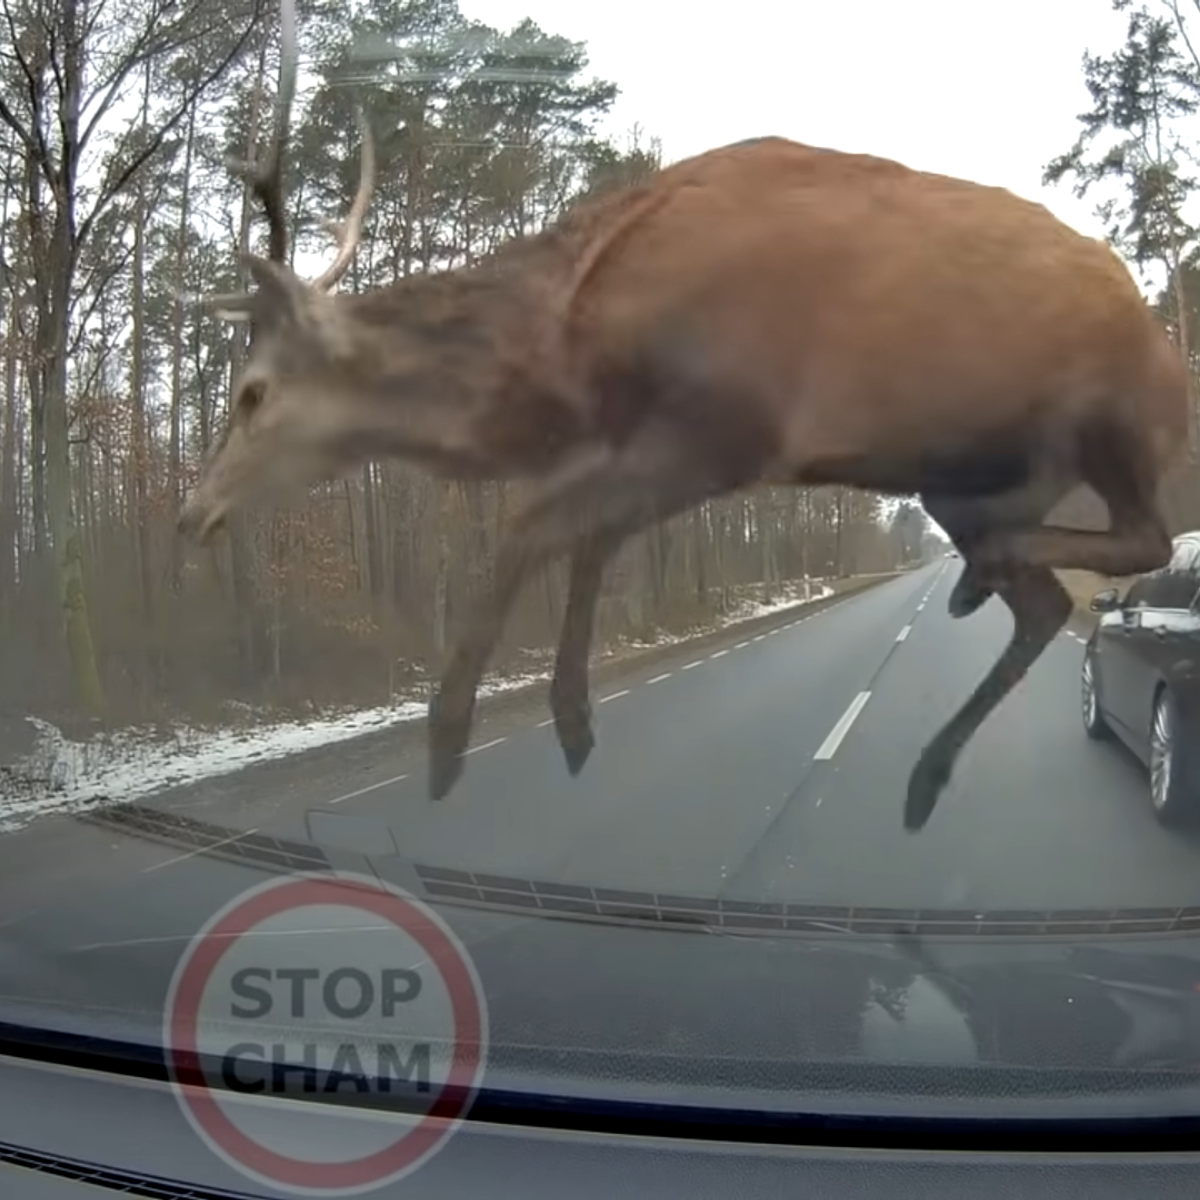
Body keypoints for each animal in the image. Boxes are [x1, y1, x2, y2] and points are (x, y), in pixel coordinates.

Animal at [177, 0, 1190, 835]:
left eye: (252, 390)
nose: (192, 513)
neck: (571, 343)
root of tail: (1164, 344)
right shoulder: (662, 440)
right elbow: (585, 537)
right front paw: (569, 720)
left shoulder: (723, 427)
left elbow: (533, 521)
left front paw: (452, 736)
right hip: (957, 480)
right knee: (1047, 599)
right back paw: (934, 747)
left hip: (1107, 424)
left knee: (1143, 537)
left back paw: (982, 589)